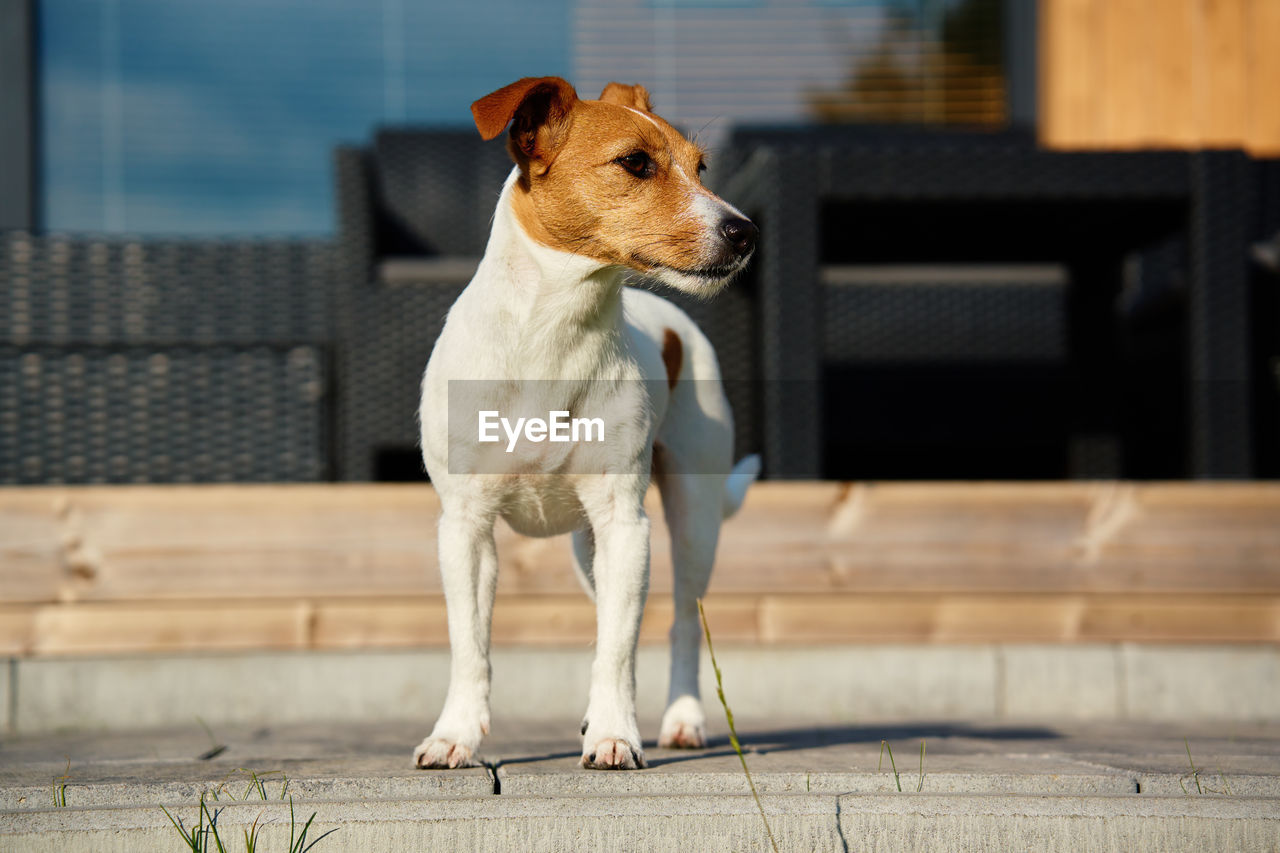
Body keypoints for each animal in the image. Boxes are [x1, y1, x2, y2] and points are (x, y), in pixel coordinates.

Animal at [414, 78, 757, 768]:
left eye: (702, 167)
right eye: (636, 163)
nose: (746, 231)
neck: (554, 331)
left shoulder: (625, 521)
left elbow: (619, 648)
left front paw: (614, 735)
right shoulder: (465, 528)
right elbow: (471, 646)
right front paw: (455, 735)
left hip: (691, 518)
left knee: (677, 623)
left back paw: (679, 719)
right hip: (586, 547)